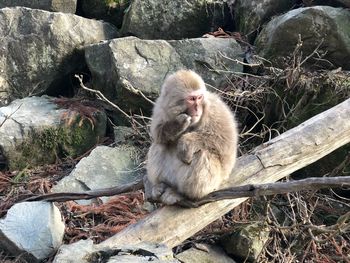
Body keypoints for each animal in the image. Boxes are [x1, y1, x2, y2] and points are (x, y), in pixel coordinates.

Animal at [144, 69, 238, 205]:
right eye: (192, 99)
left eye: (199, 98)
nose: (197, 108)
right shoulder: (161, 106)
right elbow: (157, 134)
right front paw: (177, 125)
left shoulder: (215, 108)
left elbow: (225, 140)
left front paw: (186, 142)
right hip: (171, 177)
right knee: (159, 145)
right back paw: (161, 185)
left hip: (214, 181)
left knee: (202, 153)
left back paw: (183, 194)